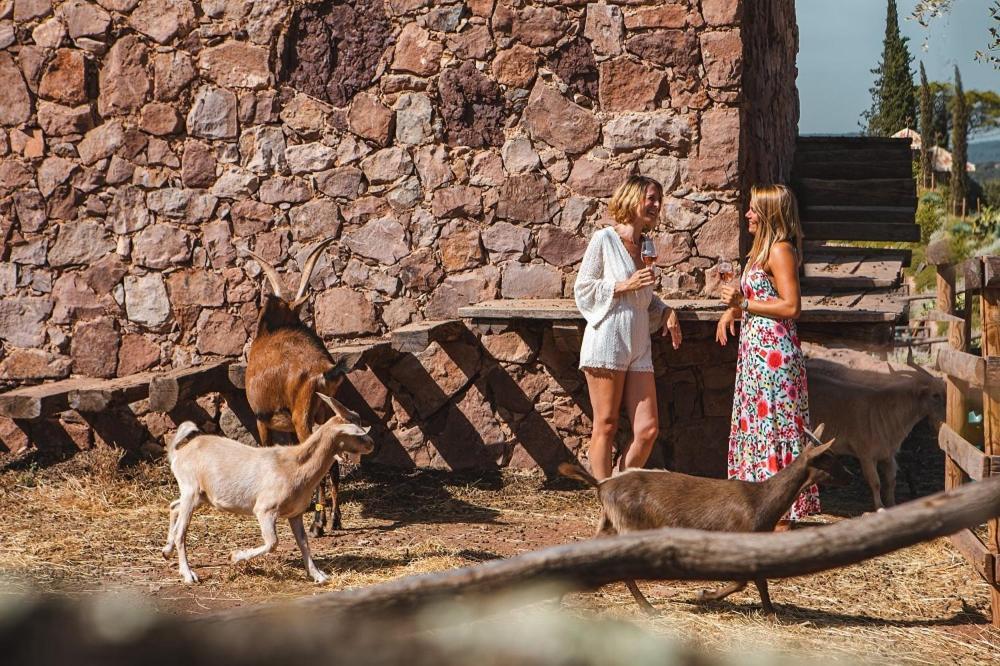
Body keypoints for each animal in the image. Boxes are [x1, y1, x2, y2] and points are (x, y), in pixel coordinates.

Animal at [162, 392, 374, 584]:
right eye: (358, 433)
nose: (371, 444)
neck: (294, 466)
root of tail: (178, 453)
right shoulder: (265, 510)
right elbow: (273, 543)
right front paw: (235, 556)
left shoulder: (295, 513)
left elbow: (304, 543)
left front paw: (318, 575)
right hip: (190, 489)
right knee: (181, 531)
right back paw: (188, 575)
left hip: (200, 495)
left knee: (174, 506)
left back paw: (166, 551)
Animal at [560, 426, 848, 612]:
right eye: (829, 459)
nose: (849, 474)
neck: (761, 501)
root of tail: (602, 485)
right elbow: (743, 581)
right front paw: (703, 595)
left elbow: (760, 581)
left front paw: (770, 611)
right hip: (630, 525)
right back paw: (648, 607)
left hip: (610, 523)